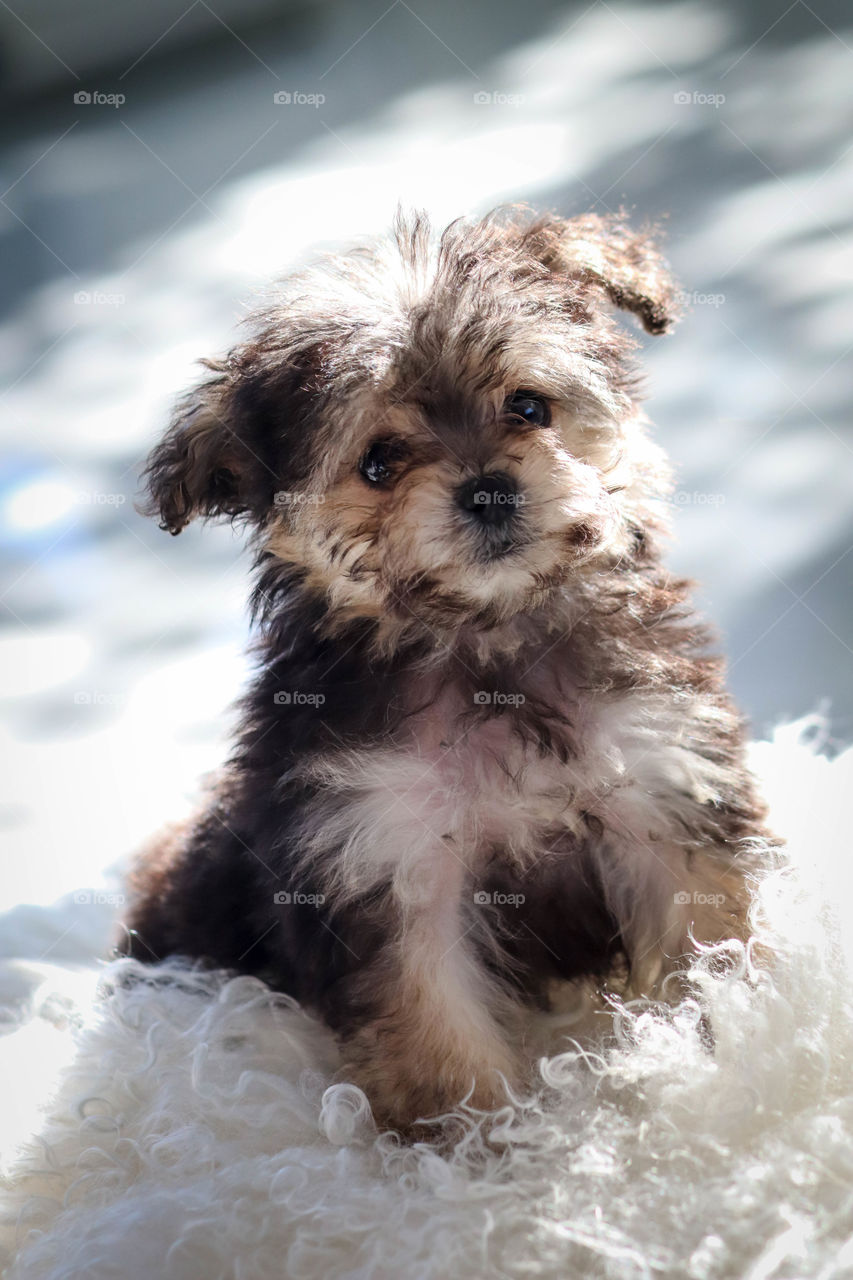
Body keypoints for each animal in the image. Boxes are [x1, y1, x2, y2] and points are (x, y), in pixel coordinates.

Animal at [121, 204, 768, 1136]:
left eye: (529, 407)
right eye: (379, 462)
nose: (488, 489)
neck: (482, 640)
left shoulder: (661, 787)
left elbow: (710, 939)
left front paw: (746, 1050)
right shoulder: (383, 860)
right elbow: (433, 1029)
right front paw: (484, 1146)